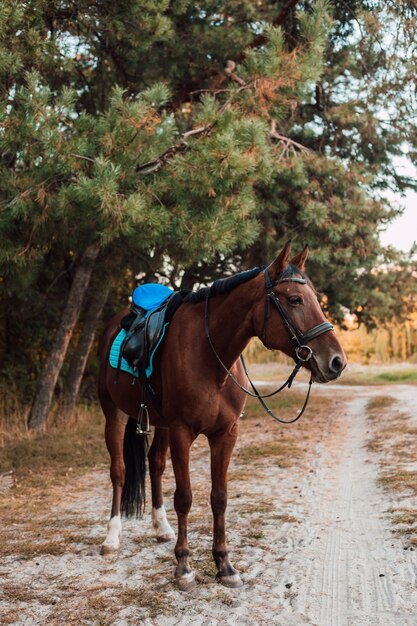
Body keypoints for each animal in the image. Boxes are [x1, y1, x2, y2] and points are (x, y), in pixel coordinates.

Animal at [96, 241, 344, 588]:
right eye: (295, 299)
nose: (337, 361)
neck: (208, 356)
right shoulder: (183, 432)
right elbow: (185, 497)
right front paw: (184, 566)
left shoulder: (225, 434)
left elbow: (220, 497)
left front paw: (224, 564)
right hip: (114, 414)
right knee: (118, 472)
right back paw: (112, 539)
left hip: (160, 424)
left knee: (155, 466)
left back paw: (161, 528)